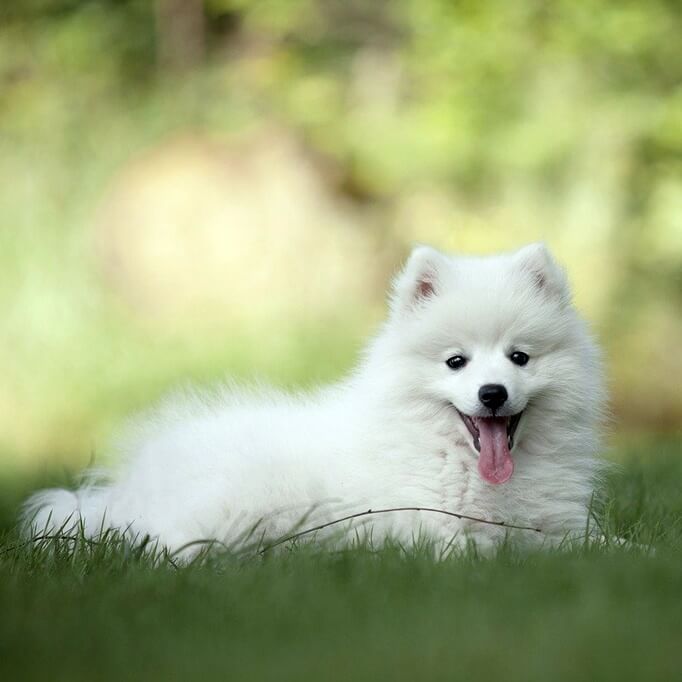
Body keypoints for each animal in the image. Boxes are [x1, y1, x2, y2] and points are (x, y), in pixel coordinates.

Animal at [23, 243, 604, 552]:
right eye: (455, 362)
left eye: (519, 358)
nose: (492, 393)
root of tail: (126, 491)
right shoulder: (432, 526)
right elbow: (489, 547)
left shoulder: (557, 522)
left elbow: (598, 543)